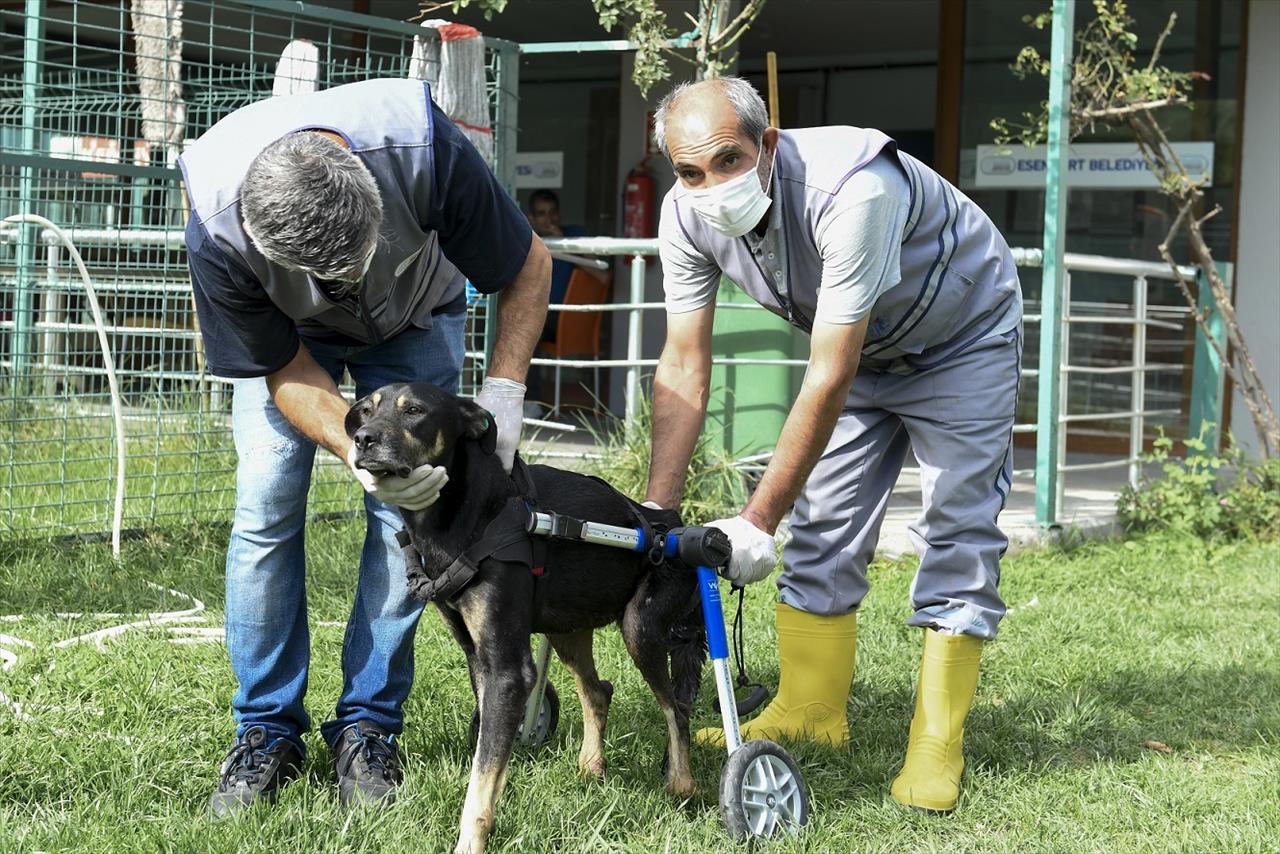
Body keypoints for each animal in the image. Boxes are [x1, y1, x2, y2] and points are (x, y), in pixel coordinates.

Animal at [345, 381, 706, 854]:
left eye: (415, 411)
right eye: (366, 410)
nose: (362, 439)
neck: (466, 513)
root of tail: (672, 524)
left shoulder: (507, 670)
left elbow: (480, 780)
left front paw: (470, 841)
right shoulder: (479, 660)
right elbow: (490, 758)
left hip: (640, 629)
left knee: (676, 708)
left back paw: (682, 784)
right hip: (567, 630)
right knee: (599, 691)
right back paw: (591, 766)